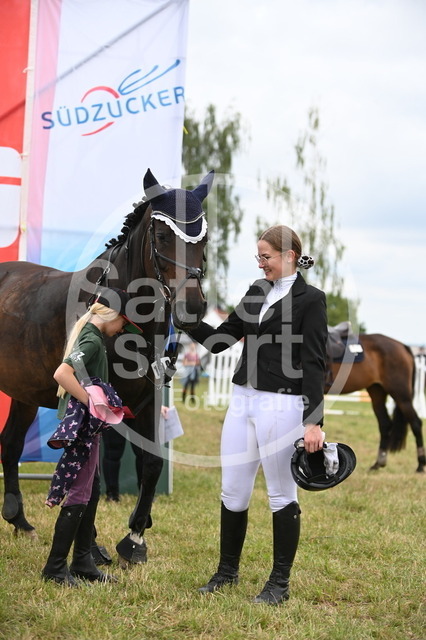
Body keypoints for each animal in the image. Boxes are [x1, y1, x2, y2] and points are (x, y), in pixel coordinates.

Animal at [0, 168, 213, 565]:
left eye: (202, 237)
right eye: (163, 235)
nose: (191, 308)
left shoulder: (147, 398)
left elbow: (152, 463)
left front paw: (135, 537)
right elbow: (91, 474)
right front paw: (95, 546)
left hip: (24, 392)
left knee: (11, 443)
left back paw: (20, 521)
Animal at [326, 329, 424, 473]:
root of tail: (402, 346)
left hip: (401, 395)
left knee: (416, 423)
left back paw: (421, 465)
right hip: (377, 392)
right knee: (385, 425)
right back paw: (378, 463)